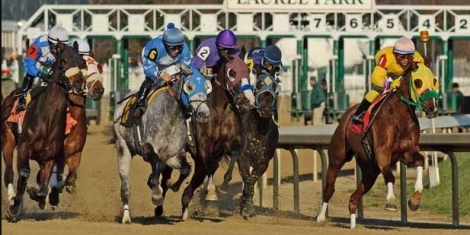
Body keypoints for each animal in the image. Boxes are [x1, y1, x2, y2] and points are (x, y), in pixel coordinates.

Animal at [3, 46, 86, 223]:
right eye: (63, 61)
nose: (78, 83)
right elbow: (24, 174)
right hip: (8, 140)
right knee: (9, 174)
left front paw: (35, 193)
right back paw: (13, 199)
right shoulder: (23, 148)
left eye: (82, 62)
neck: (47, 119)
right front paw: (13, 209)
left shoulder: (50, 157)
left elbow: (43, 187)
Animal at [113, 64, 210, 224]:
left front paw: (173, 185)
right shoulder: (147, 149)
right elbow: (154, 175)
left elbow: (185, 169)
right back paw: (126, 216)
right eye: (190, 87)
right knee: (125, 185)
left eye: (207, 87)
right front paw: (157, 195)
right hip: (123, 147)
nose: (204, 114)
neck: (170, 117)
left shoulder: (173, 155)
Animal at [181, 51, 253, 220]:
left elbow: (234, 155)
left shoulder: (229, 143)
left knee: (197, 177)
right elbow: (210, 167)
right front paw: (212, 193)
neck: (219, 111)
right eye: (232, 73)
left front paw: (223, 188)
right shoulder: (204, 145)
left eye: (248, 71)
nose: (248, 99)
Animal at [316, 65, 440, 229]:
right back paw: (321, 217)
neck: (399, 116)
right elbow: (390, 175)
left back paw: (353, 224)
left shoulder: (407, 153)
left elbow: (419, 161)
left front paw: (414, 200)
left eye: (434, 80)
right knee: (329, 188)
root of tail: (347, 115)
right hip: (338, 157)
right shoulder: (382, 153)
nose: (432, 108)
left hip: (370, 171)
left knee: (354, 197)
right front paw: (391, 201)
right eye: (418, 81)